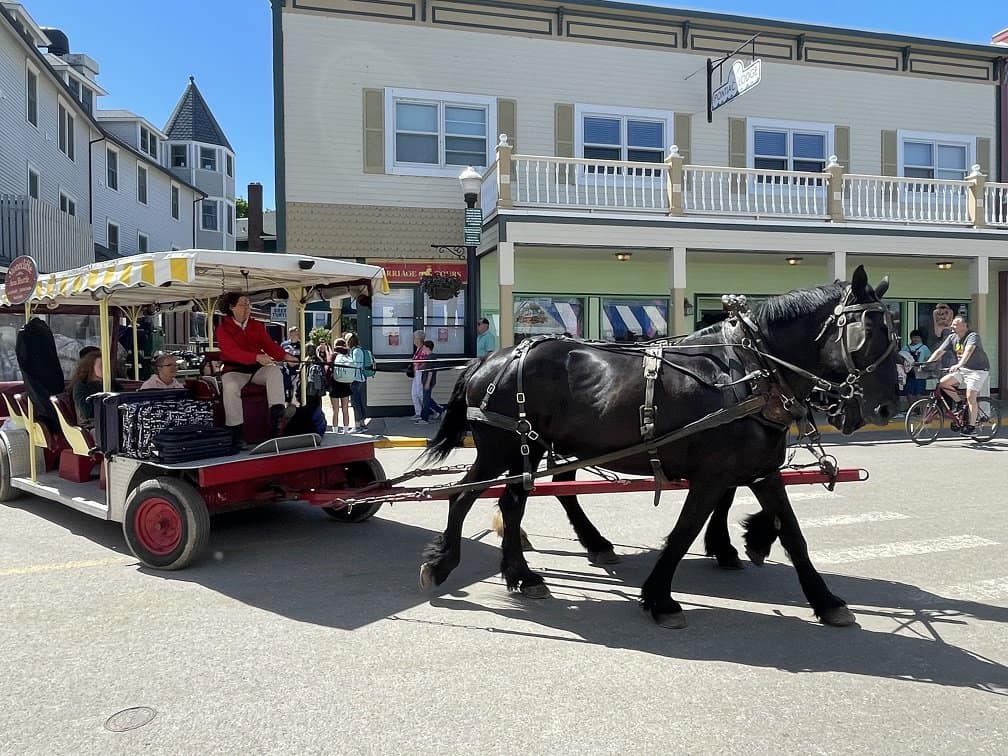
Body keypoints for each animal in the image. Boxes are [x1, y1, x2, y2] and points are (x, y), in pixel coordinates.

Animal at [421, 270, 895, 628]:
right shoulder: (712, 475)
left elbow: (793, 535)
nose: (885, 407)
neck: (751, 371)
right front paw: (661, 598)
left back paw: (525, 573)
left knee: (518, 501)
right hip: (501, 448)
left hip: (532, 448)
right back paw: (444, 563)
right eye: (869, 332)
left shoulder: (761, 471)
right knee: (465, 497)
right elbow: (684, 531)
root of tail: (491, 359)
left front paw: (824, 599)